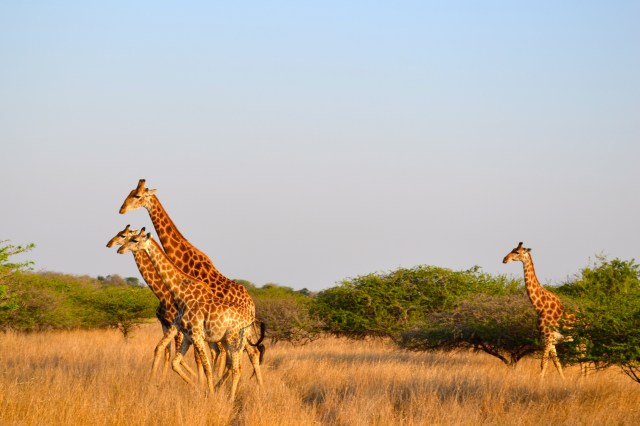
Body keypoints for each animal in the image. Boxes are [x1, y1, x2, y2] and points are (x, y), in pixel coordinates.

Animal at [117, 231, 262, 400]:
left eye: (134, 239)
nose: (120, 249)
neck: (182, 294)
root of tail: (250, 318)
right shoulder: (186, 334)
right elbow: (174, 361)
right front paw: (199, 388)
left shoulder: (197, 334)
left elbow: (206, 366)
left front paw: (209, 394)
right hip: (229, 340)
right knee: (235, 365)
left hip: (234, 340)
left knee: (238, 366)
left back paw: (232, 397)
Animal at [119, 179, 264, 374]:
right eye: (129, 192)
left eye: (137, 195)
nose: (121, 209)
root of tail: (252, 304)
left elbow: (200, 357)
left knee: (249, 354)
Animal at [503, 242, 576, 378]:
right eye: (512, 249)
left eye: (517, 252)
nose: (504, 259)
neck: (540, 306)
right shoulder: (548, 338)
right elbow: (557, 363)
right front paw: (564, 381)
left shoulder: (548, 336)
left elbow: (543, 364)